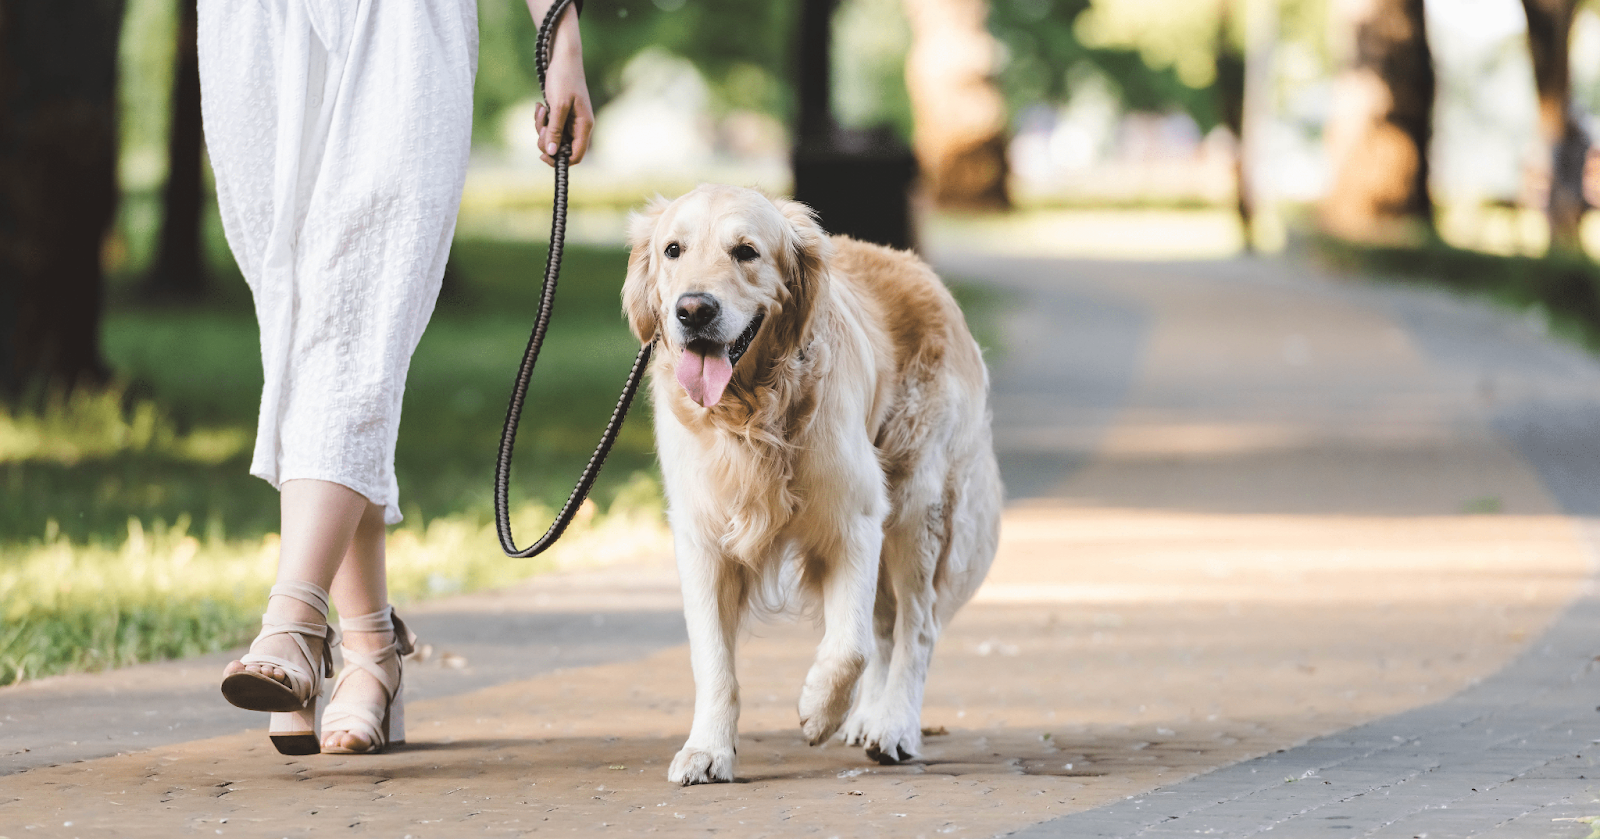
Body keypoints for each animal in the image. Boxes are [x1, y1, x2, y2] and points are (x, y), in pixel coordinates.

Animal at [620, 184, 998, 787]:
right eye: (673, 250)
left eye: (746, 251)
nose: (693, 309)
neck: (751, 416)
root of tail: (922, 270)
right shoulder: (702, 538)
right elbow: (713, 659)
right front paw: (708, 749)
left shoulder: (856, 519)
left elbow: (849, 646)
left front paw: (819, 709)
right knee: (887, 624)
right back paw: (866, 719)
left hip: (917, 506)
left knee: (915, 628)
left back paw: (893, 725)